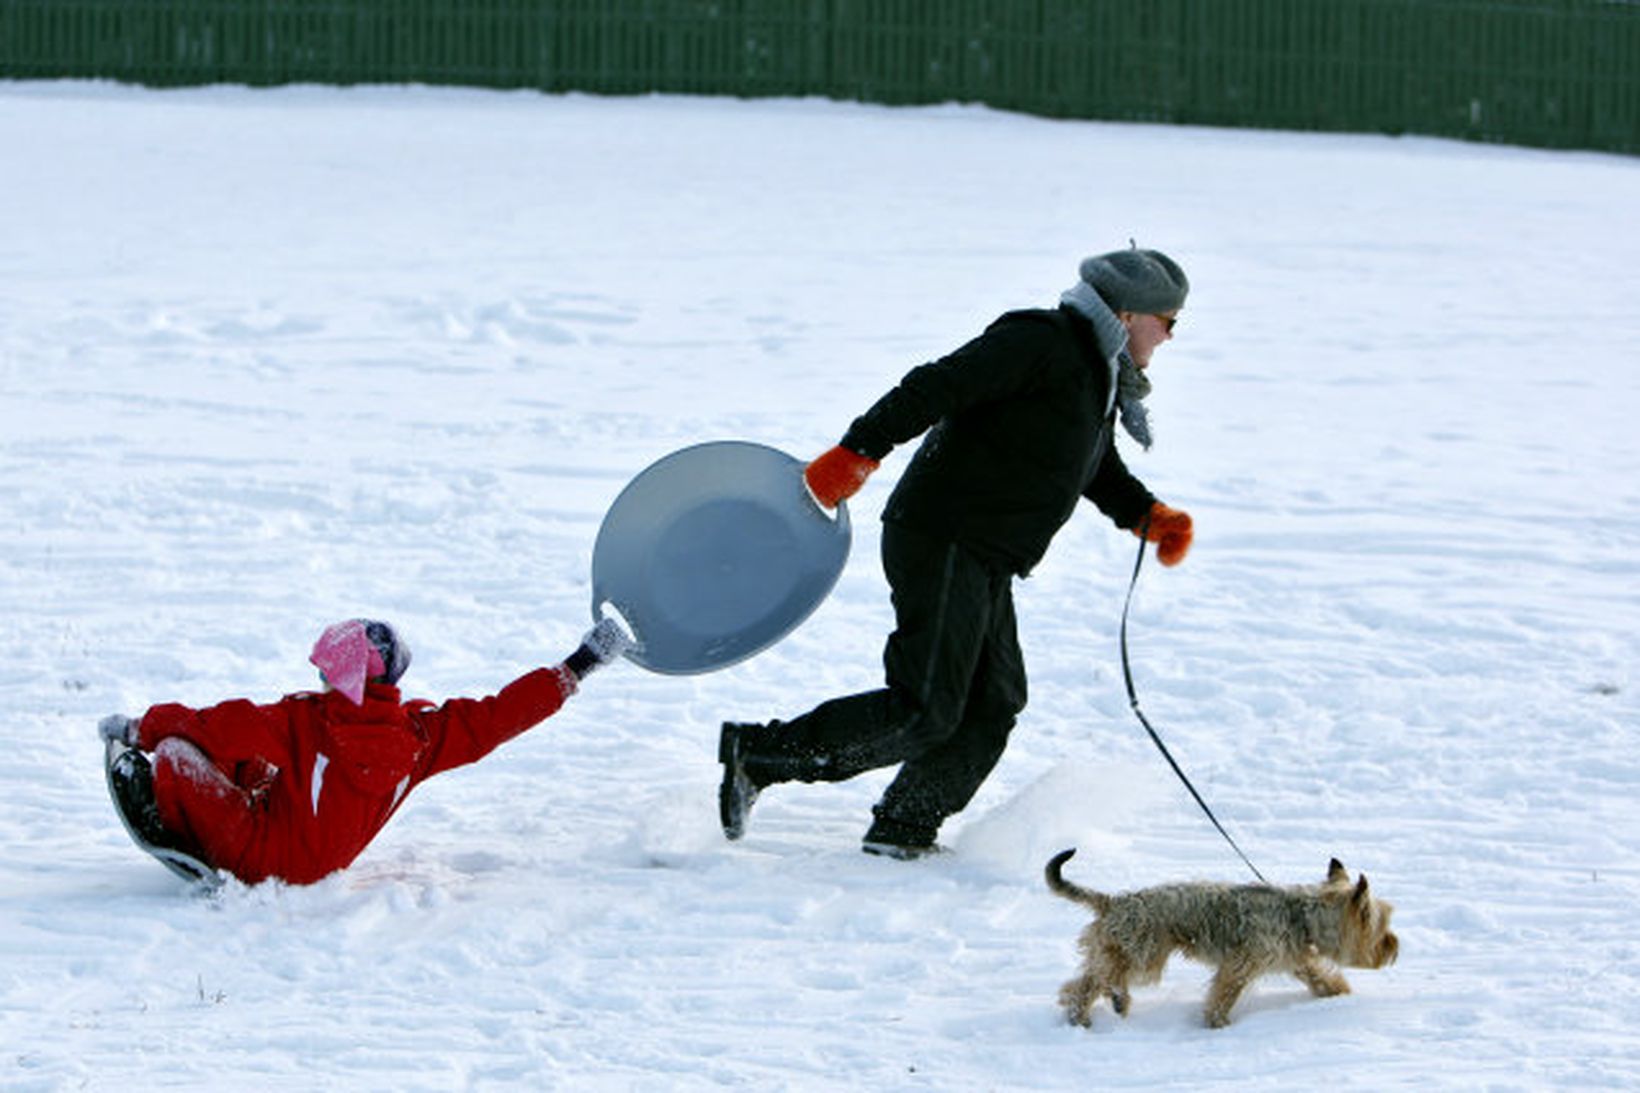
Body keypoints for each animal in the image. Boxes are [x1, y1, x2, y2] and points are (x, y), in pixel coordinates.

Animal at [1049, 846, 1397, 1024]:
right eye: (1382, 927)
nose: (1394, 946)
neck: (1303, 916)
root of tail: (1114, 901)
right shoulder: (1240, 965)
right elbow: (1223, 995)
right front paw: (1217, 1023)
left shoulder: (1296, 959)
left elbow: (1320, 977)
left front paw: (1339, 994)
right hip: (1145, 952)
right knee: (1102, 977)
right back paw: (1111, 1001)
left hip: (1126, 947)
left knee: (1087, 980)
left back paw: (1086, 1011)